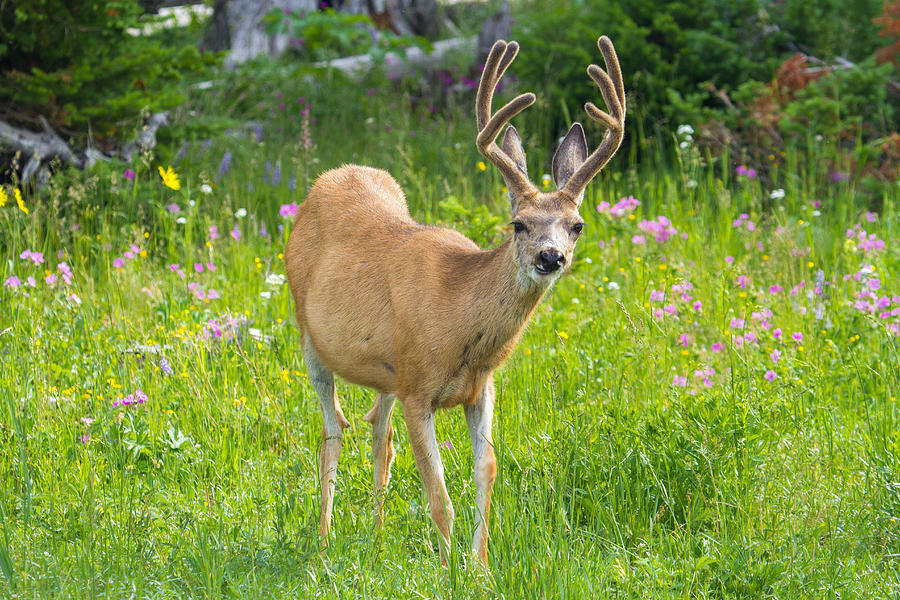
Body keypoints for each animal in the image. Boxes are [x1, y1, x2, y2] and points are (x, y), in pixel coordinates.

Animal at [284, 34, 624, 568]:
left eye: (577, 225)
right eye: (519, 224)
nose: (551, 257)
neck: (459, 316)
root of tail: (330, 176)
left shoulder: (479, 386)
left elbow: (487, 467)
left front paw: (480, 564)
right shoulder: (418, 387)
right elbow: (438, 486)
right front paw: (449, 568)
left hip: (387, 370)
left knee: (378, 433)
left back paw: (376, 534)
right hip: (309, 337)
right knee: (333, 428)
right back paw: (323, 538)